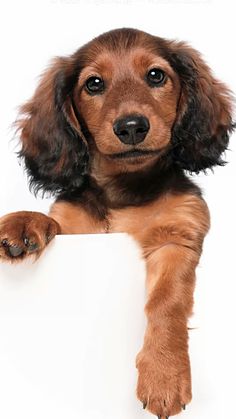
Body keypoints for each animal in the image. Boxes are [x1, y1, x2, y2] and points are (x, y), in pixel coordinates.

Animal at [0, 28, 234, 416]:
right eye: (94, 84)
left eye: (156, 75)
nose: (132, 127)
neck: (124, 189)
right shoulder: (76, 229)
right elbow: (51, 221)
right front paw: (21, 223)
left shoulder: (178, 237)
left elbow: (167, 303)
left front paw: (164, 375)